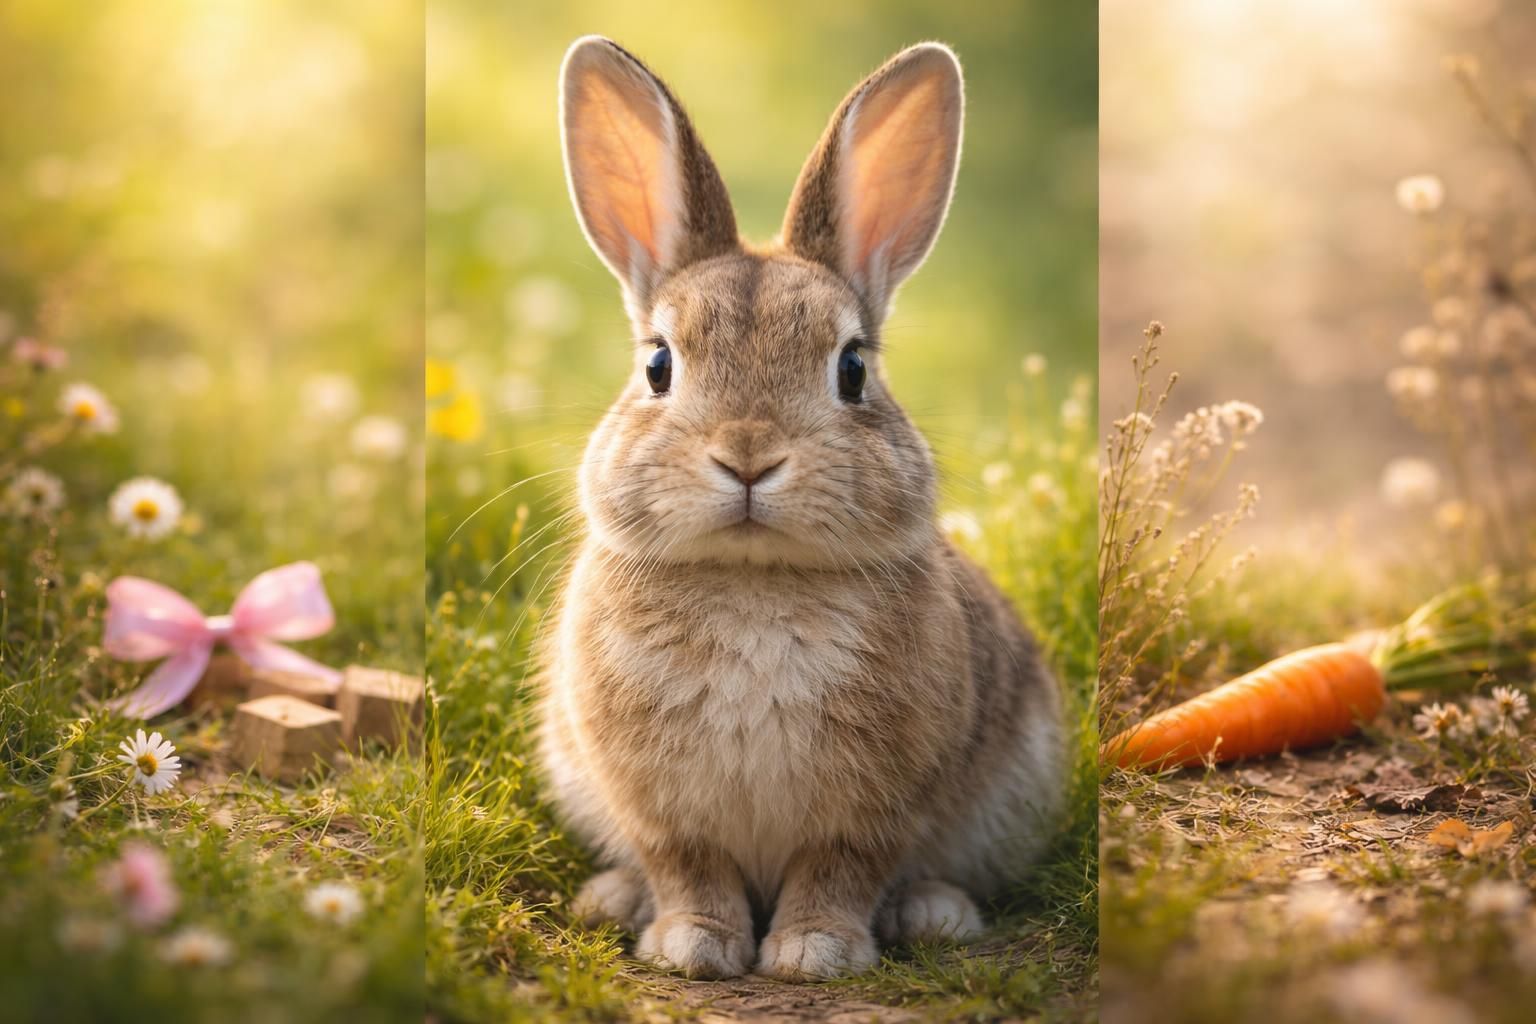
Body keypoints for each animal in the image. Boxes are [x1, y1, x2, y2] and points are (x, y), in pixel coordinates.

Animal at [536, 35, 1064, 982]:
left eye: (852, 369)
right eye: (658, 366)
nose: (748, 456)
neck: (756, 580)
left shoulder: (872, 809)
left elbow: (841, 869)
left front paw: (814, 953)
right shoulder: (661, 808)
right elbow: (687, 865)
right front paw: (694, 946)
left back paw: (934, 914)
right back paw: (616, 900)